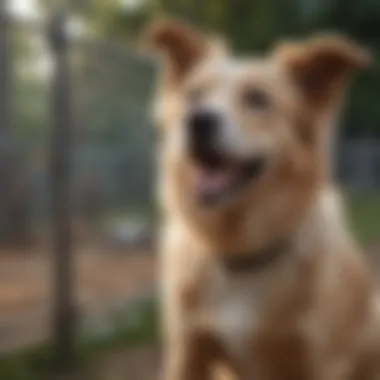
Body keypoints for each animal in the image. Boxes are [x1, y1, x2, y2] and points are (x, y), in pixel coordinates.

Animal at [143, 18, 380, 380]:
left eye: (257, 98)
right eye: (194, 94)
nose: (198, 121)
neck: (242, 250)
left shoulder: (317, 361)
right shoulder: (189, 347)